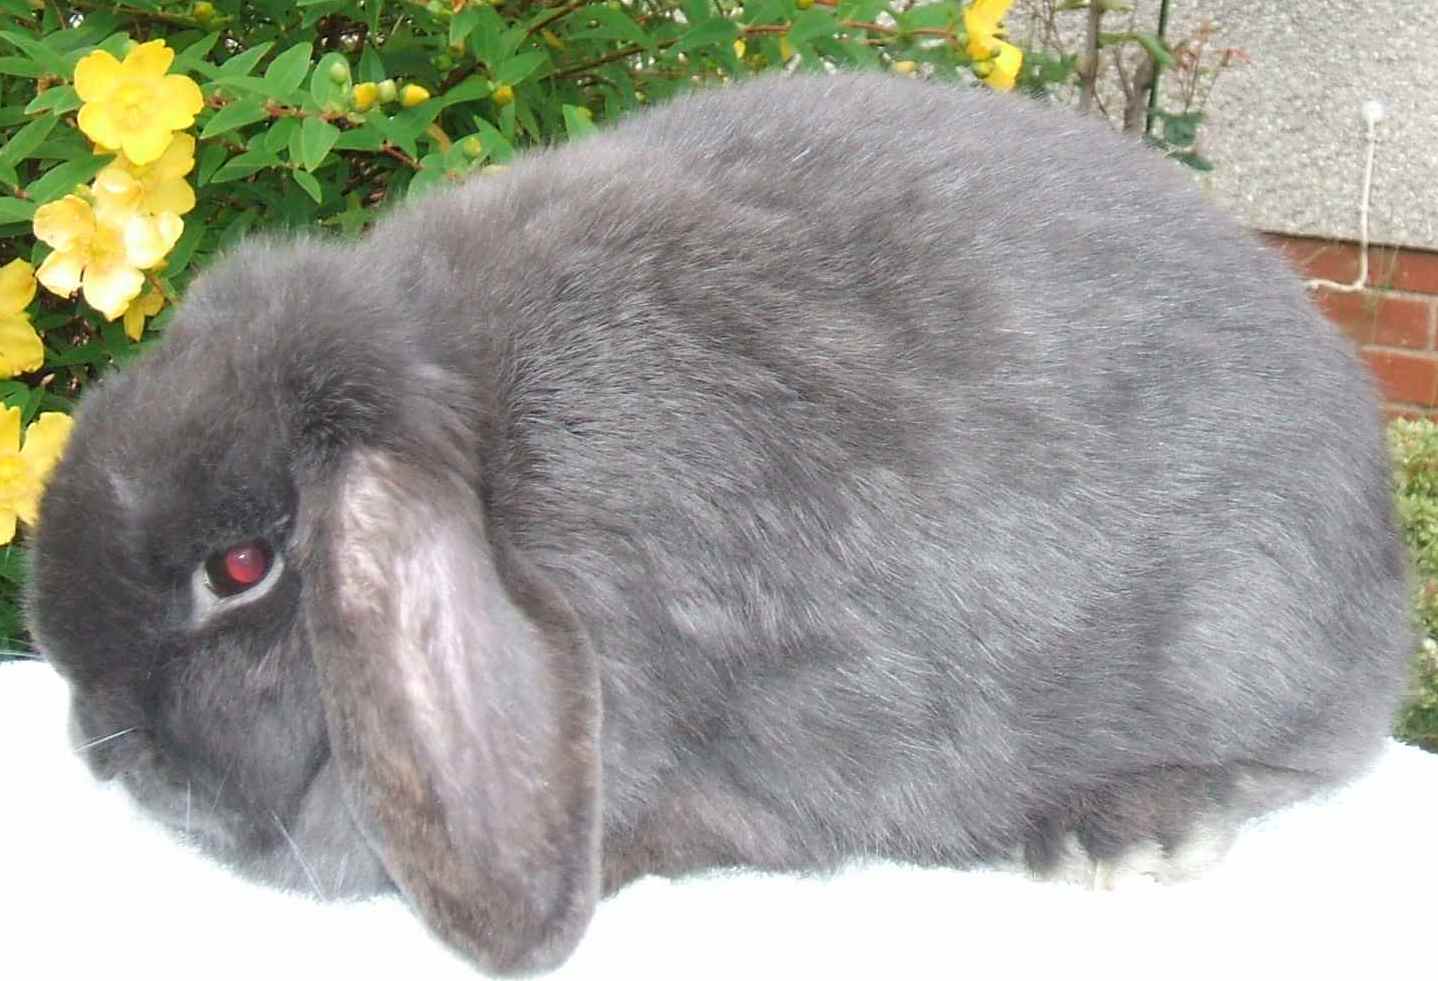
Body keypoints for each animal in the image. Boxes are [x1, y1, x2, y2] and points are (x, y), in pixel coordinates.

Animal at [27, 71, 1413, 976]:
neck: (489, 453)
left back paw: (1120, 830)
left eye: (241, 566)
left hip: (1247, 628)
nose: (98, 741)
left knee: (1305, 756)